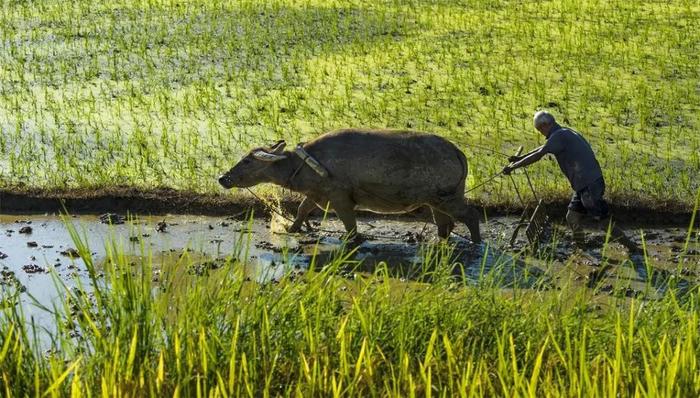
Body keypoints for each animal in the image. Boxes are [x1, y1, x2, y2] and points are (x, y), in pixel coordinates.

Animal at [219, 130, 482, 243]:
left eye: (247, 160)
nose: (222, 178)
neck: (305, 165)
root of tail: (458, 152)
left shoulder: (340, 199)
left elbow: (350, 225)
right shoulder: (316, 194)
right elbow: (302, 210)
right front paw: (293, 229)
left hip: (447, 198)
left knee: (471, 215)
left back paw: (476, 243)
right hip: (437, 201)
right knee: (445, 224)